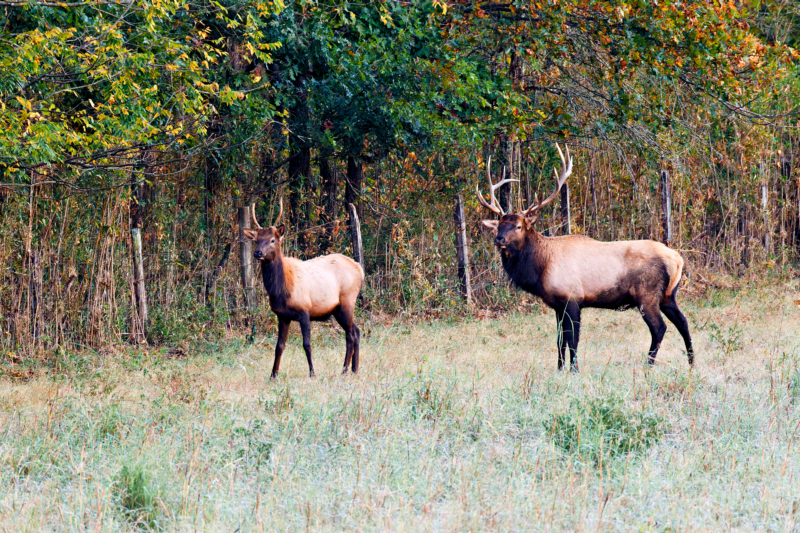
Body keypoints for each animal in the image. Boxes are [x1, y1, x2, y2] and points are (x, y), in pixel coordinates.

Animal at [242, 200, 364, 378]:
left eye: (272, 240)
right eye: (257, 239)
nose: (258, 252)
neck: (281, 291)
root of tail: (360, 269)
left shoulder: (305, 309)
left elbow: (307, 344)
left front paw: (312, 373)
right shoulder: (282, 315)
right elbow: (279, 346)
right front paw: (273, 375)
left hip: (347, 300)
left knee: (350, 335)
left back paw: (344, 370)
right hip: (337, 309)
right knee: (357, 330)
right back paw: (355, 369)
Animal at [476, 144, 692, 370]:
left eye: (518, 226)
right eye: (499, 225)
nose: (499, 239)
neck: (541, 268)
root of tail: (677, 260)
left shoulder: (572, 299)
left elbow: (573, 339)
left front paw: (574, 369)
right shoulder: (557, 305)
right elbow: (559, 339)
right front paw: (560, 368)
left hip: (646, 294)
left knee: (659, 327)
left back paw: (648, 364)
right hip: (668, 295)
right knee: (683, 321)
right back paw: (691, 362)